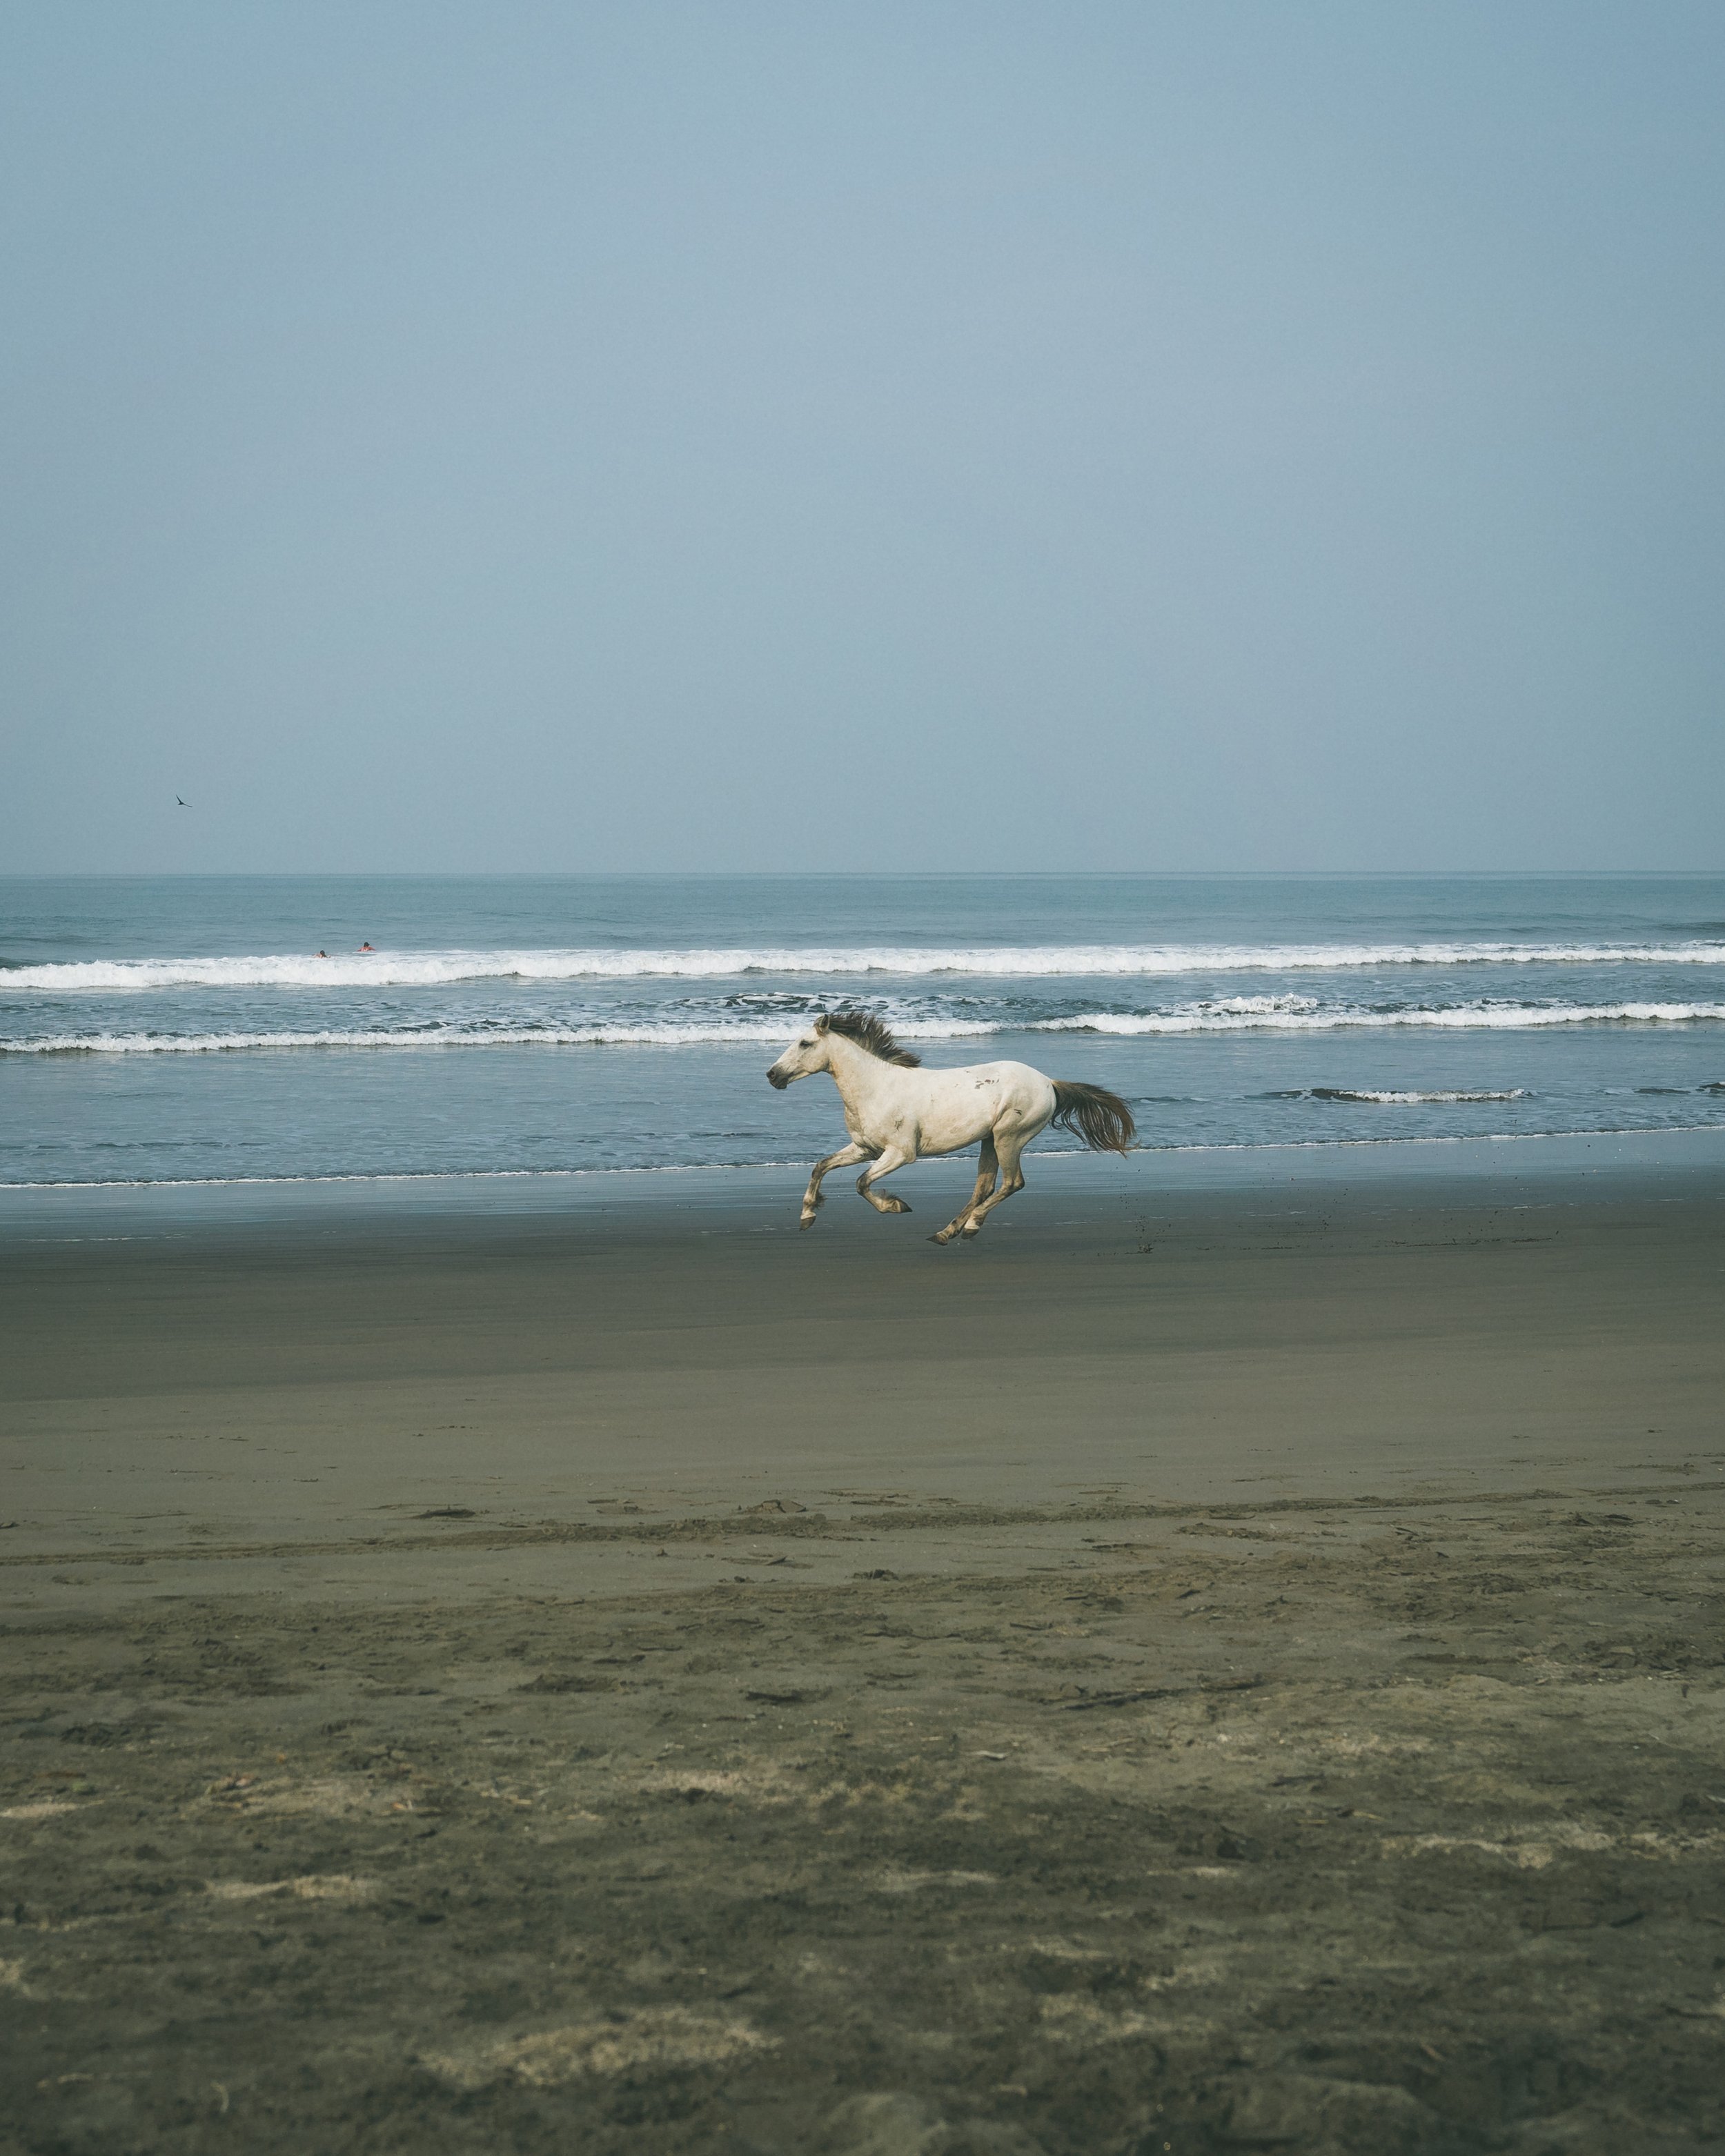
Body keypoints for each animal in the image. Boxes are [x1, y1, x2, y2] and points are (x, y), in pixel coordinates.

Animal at [766, 1010, 1136, 1243]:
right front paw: (807, 1216)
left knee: (1012, 1183)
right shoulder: (864, 1148)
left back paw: (969, 1227)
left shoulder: (900, 1154)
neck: (877, 1087)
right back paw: (946, 1232)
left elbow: (861, 1183)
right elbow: (820, 1166)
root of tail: (1049, 1083)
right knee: (984, 1187)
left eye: (804, 1043)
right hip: (989, 1140)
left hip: (1008, 1137)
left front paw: (896, 1205)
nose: (772, 1075)